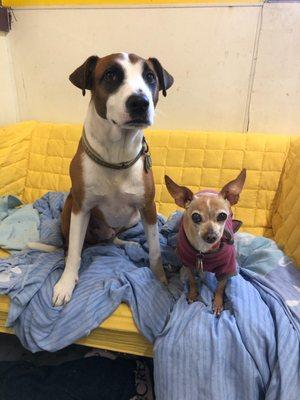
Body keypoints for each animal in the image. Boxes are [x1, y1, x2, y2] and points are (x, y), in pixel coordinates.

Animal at [52, 53, 173, 306]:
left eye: (150, 77)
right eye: (110, 75)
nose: (140, 102)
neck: (117, 156)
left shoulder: (148, 207)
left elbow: (155, 249)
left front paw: (160, 277)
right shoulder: (81, 208)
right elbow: (74, 253)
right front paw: (65, 284)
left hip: (133, 217)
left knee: (114, 238)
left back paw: (127, 243)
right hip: (69, 208)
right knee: (72, 244)